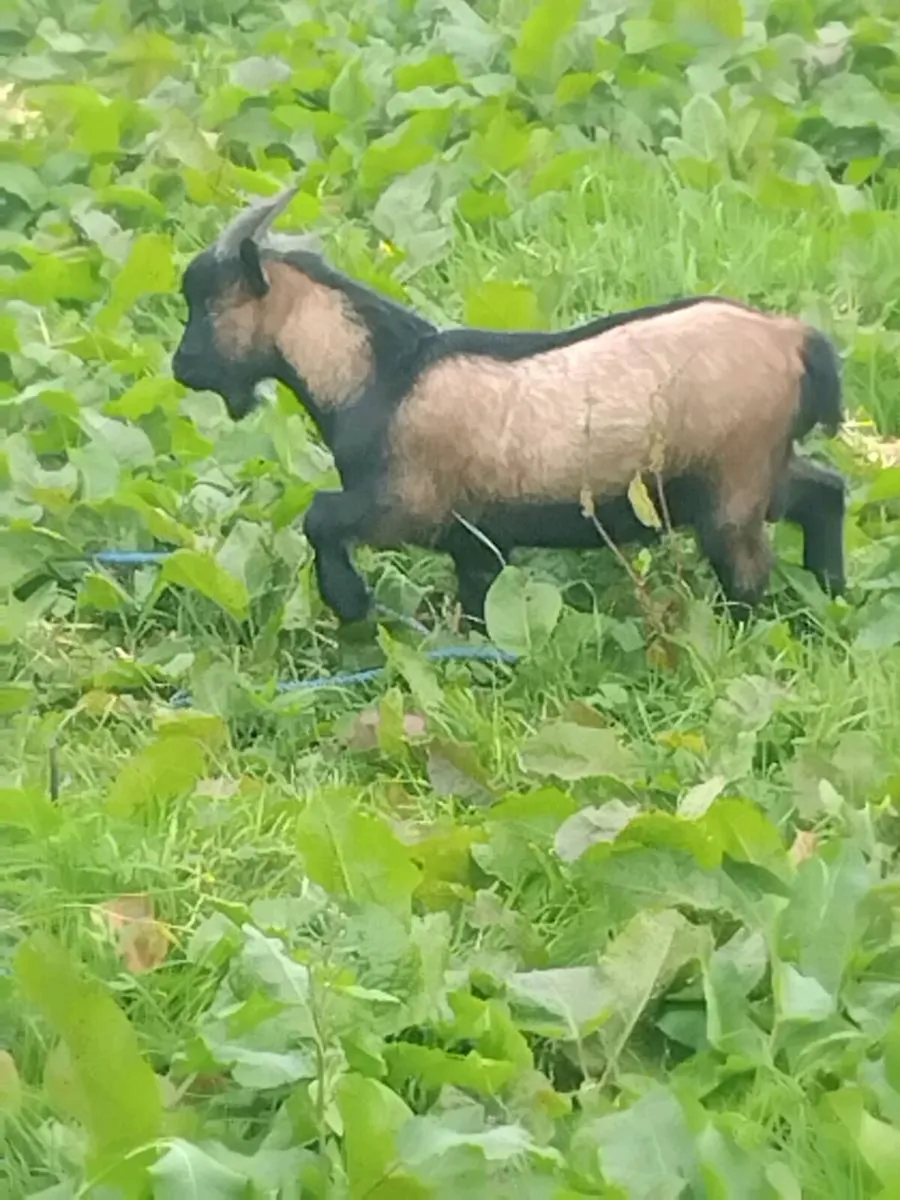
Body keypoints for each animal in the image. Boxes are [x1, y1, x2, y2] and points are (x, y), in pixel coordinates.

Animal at [172, 187, 846, 627]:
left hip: (732, 484)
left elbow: (319, 516)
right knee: (825, 491)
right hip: (760, 469)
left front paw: (352, 603)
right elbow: (478, 599)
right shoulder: (475, 539)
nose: (181, 368)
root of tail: (791, 338)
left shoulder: (406, 505)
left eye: (207, 301)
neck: (384, 373)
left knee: (748, 569)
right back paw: (832, 596)